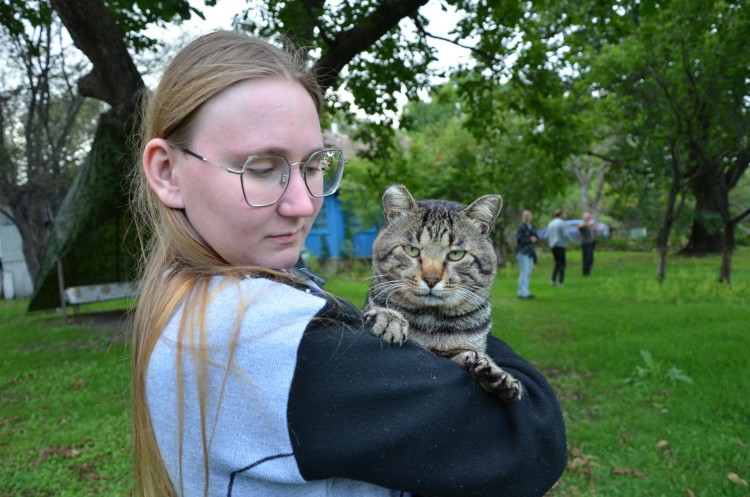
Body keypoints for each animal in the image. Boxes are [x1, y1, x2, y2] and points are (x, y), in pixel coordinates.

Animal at [364, 184, 524, 402]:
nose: (431, 279)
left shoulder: (465, 348)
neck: (431, 321)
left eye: (456, 254)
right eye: (411, 250)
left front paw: (495, 374)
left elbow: (469, 354)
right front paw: (389, 318)